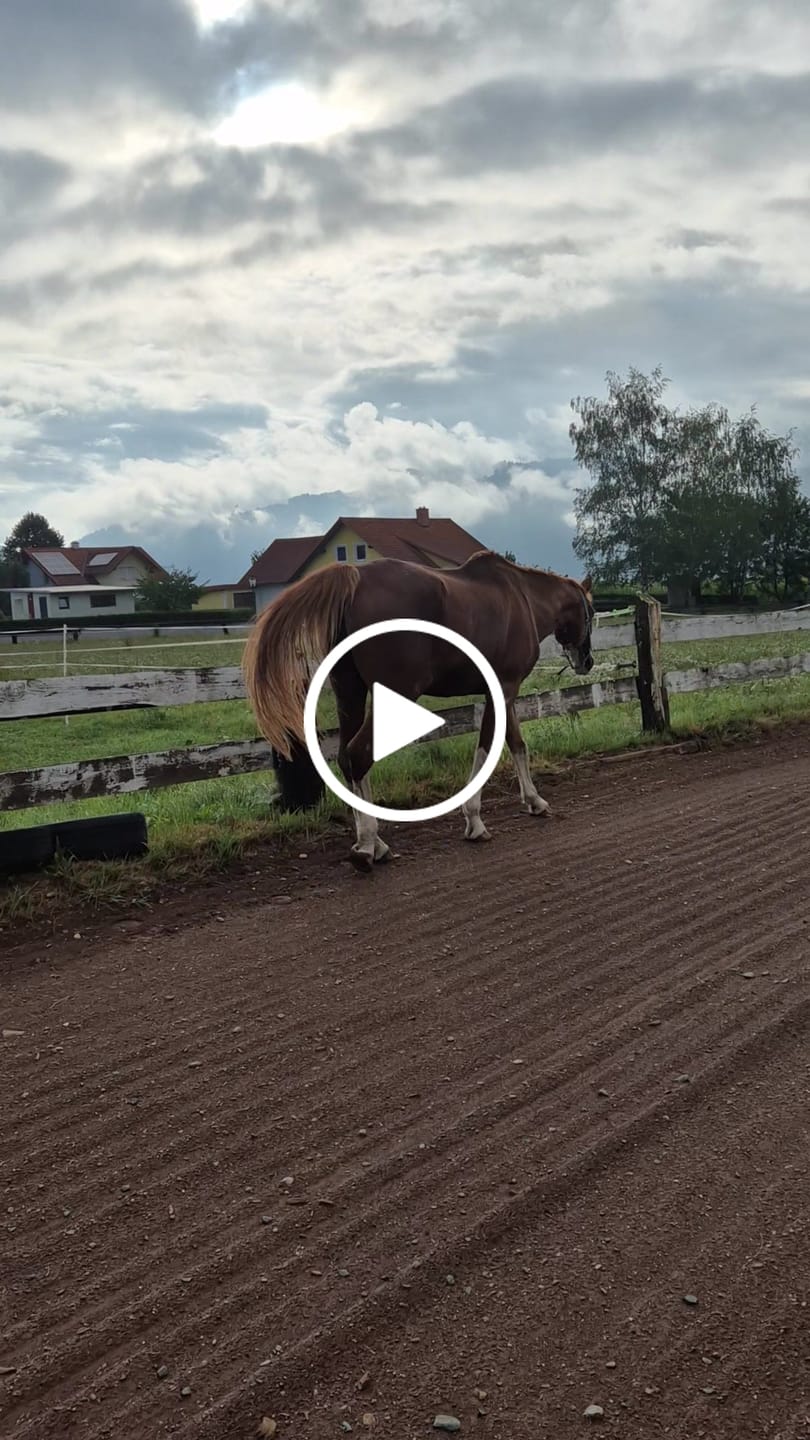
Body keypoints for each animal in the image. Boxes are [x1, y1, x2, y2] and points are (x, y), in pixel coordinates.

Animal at [242, 550, 594, 870]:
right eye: (590, 612)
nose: (586, 661)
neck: (521, 598)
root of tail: (354, 581)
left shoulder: (503, 695)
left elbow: (517, 744)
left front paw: (535, 801)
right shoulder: (502, 690)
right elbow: (487, 751)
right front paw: (474, 821)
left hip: (350, 693)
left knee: (346, 758)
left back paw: (374, 843)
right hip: (394, 693)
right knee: (359, 754)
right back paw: (367, 845)